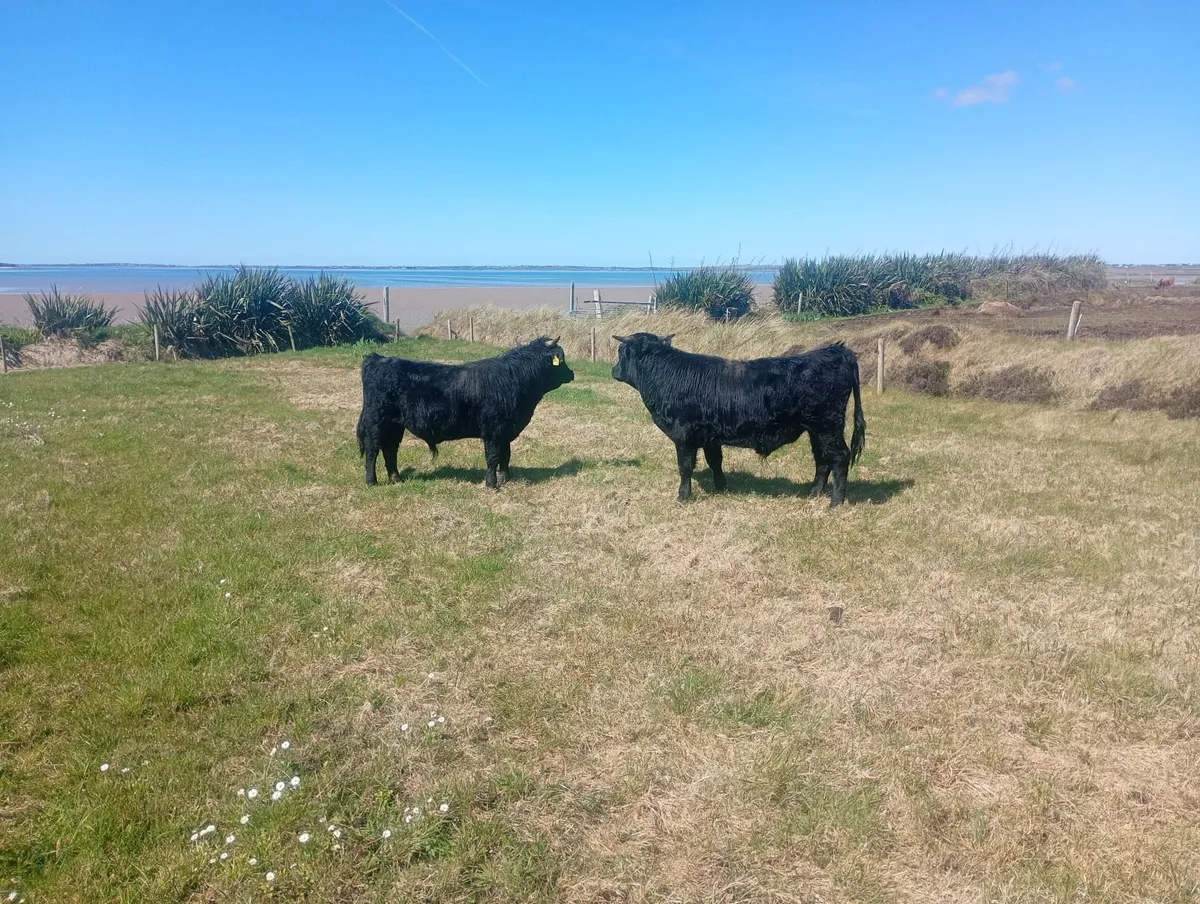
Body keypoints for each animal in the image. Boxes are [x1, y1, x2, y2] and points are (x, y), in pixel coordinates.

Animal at [357, 336, 574, 490]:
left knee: (390, 449)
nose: (572, 374)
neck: (514, 379)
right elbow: (493, 457)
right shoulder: (494, 431)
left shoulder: (505, 431)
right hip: (377, 421)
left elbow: (506, 456)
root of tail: (378, 359)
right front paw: (492, 485)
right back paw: (372, 481)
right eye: (562, 360)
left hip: (395, 425)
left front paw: (506, 479)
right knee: (373, 449)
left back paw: (396, 479)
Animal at [611, 333, 866, 507]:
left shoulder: (683, 436)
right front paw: (722, 488)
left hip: (827, 426)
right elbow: (715, 462)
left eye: (621, 351)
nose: (613, 370)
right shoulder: (710, 437)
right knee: (822, 460)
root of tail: (837, 351)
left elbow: (685, 467)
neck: (666, 374)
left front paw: (683, 496)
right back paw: (813, 494)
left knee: (840, 457)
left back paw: (835, 503)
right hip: (816, 430)